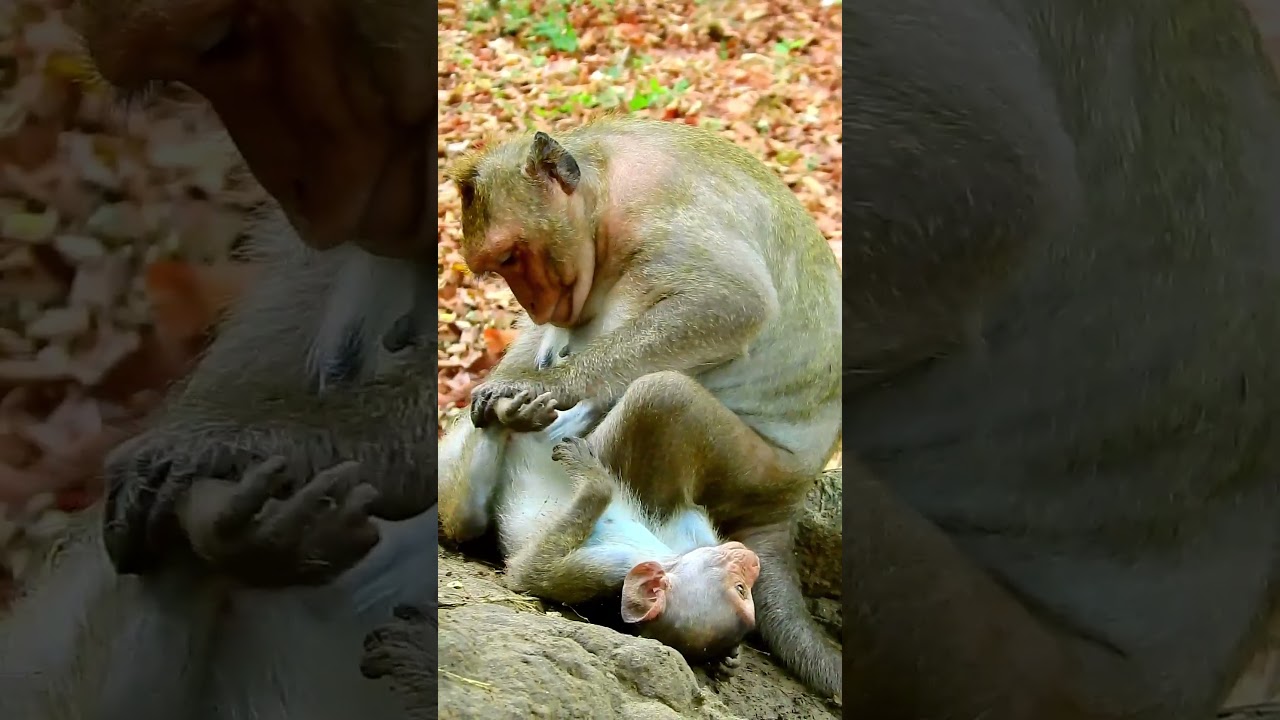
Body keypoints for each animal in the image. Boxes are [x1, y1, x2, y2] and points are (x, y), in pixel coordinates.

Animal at [432, 116, 843, 699]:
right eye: (498, 266)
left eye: (511, 256)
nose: (530, 301)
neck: (604, 201)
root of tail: (788, 499)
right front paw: (507, 385)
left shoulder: (662, 220)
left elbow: (731, 303)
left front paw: (548, 387)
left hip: (758, 472)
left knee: (661, 396)